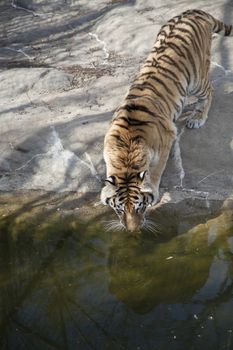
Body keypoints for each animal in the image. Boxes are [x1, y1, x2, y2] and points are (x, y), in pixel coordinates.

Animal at [100, 8, 233, 232]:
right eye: (119, 210)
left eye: (139, 207)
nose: (133, 230)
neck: (126, 154)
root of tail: (194, 12)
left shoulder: (165, 141)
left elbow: (156, 171)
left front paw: (154, 189)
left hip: (196, 80)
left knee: (209, 90)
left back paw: (197, 117)